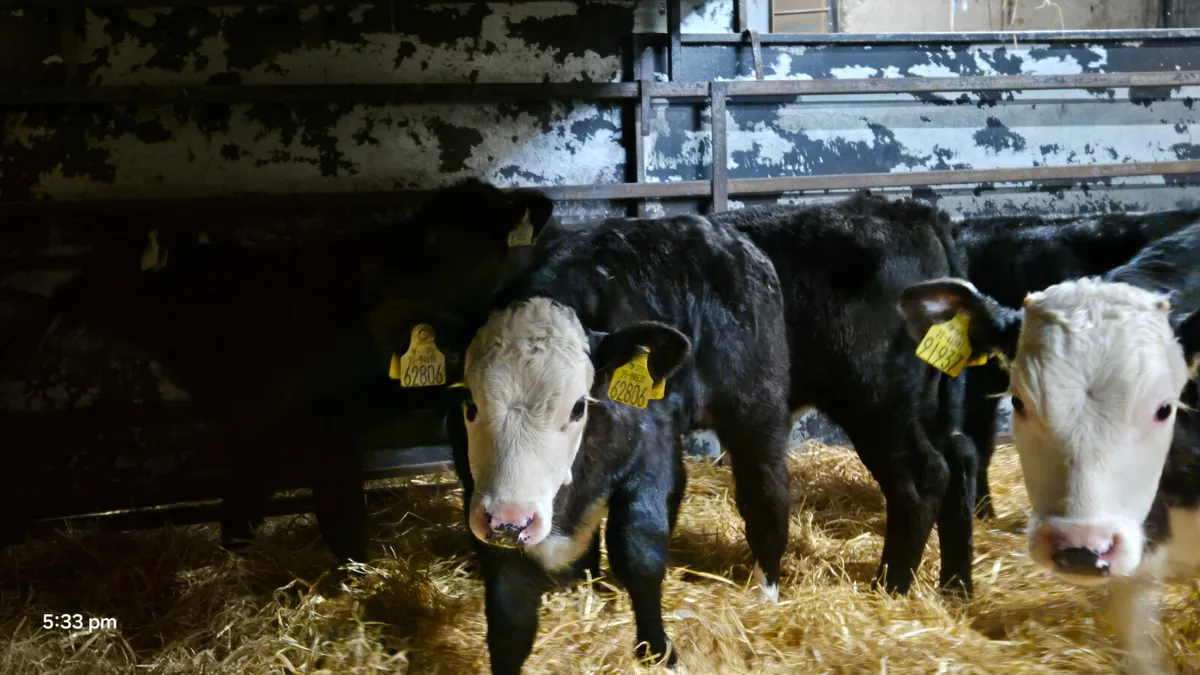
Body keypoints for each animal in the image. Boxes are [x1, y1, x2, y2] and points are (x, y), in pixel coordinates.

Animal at [14, 179, 553, 567]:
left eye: (105, 264)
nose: (58, 295)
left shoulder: (319, 427)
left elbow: (338, 517)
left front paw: (354, 578)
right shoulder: (256, 426)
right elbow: (242, 504)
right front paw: (236, 558)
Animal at [442, 208, 795, 673]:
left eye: (577, 407)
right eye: (469, 401)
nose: (510, 520)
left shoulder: (649, 454)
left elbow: (638, 552)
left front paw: (658, 649)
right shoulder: (484, 495)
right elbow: (508, 605)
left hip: (756, 407)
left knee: (765, 492)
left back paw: (766, 590)